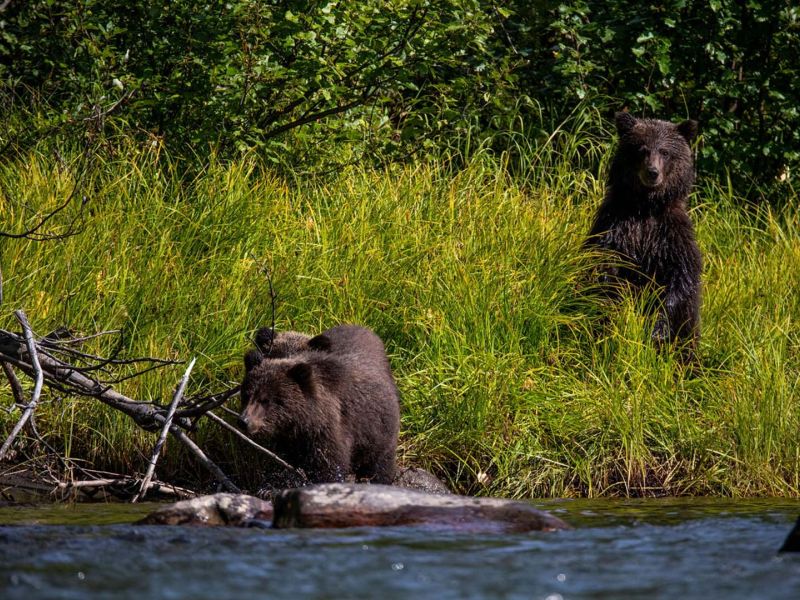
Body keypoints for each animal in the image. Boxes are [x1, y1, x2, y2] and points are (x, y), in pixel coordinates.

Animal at [238, 326, 400, 486]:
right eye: (246, 394)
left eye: (265, 400)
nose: (245, 421)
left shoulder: (329, 433)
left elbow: (328, 469)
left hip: (378, 432)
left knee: (379, 465)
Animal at [584, 112, 704, 346]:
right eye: (642, 149)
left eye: (665, 152)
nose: (652, 172)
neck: (646, 207)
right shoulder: (615, 225)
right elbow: (604, 264)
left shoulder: (671, 235)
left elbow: (680, 278)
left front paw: (658, 328)